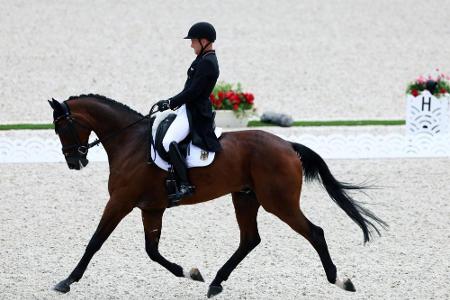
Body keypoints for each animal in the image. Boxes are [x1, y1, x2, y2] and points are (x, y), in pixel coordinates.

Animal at [48, 94, 386, 298]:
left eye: (62, 128)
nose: (74, 162)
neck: (130, 142)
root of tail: (288, 145)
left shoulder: (120, 202)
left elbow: (95, 241)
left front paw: (66, 282)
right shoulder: (151, 208)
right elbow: (152, 251)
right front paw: (189, 272)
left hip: (279, 202)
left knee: (314, 232)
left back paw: (339, 280)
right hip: (245, 198)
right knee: (250, 239)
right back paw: (215, 282)